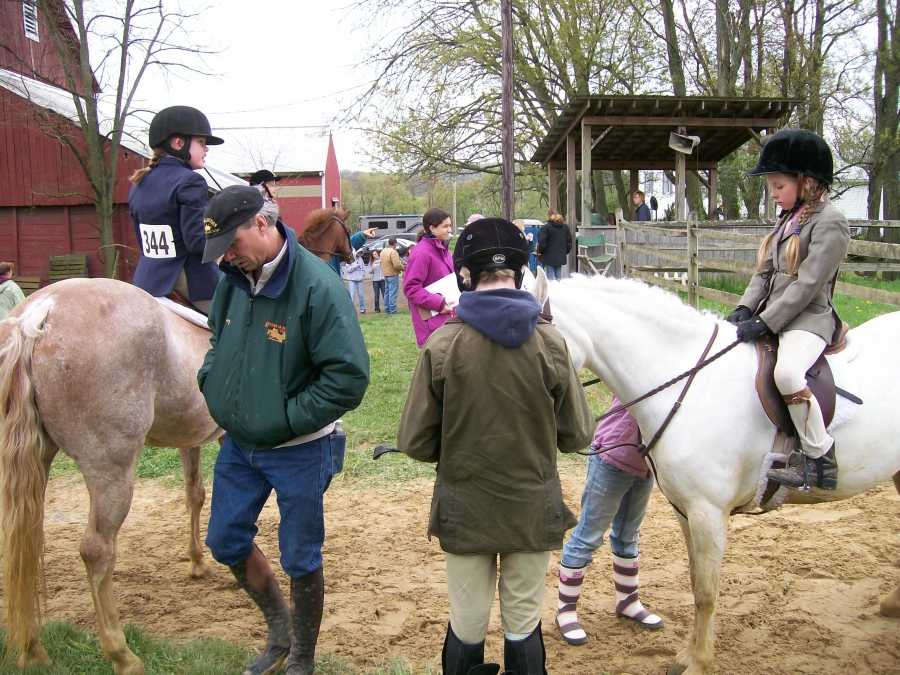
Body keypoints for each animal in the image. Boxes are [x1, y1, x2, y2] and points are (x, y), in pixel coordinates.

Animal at [0, 278, 221, 672]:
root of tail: (41, 310)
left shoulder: (190, 438)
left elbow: (195, 494)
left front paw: (197, 562)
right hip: (111, 469)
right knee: (97, 550)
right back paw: (122, 655)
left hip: (36, 460)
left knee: (23, 537)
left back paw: (31, 649)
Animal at [532, 270, 900, 675]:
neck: (688, 381)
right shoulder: (686, 510)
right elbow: (696, 583)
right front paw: (687, 655)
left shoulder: (708, 512)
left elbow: (708, 592)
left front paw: (699, 662)